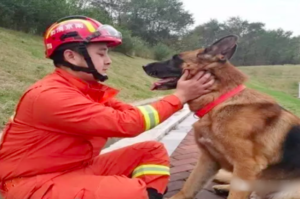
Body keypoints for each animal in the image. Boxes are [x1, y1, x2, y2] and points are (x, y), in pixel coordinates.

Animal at [143, 35, 300, 199]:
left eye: (175, 58)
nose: (144, 66)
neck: (219, 100)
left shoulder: (246, 167)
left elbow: (235, 195)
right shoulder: (208, 159)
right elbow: (189, 186)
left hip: (289, 190)